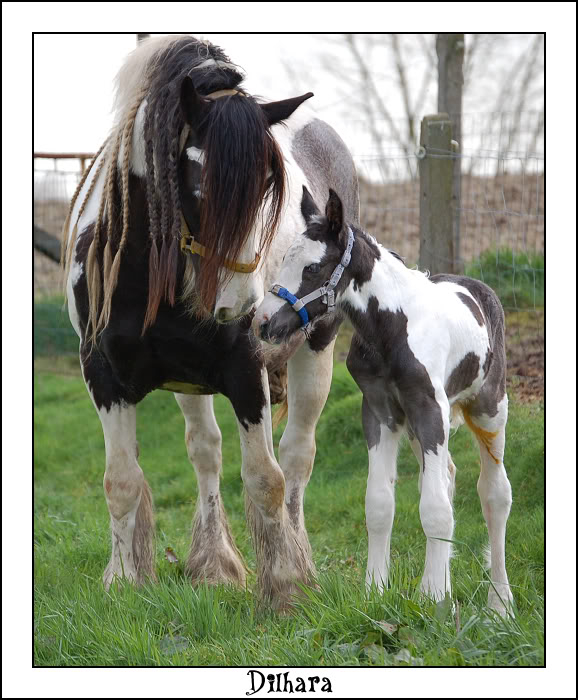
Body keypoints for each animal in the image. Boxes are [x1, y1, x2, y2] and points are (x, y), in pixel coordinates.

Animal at [62, 35, 356, 608]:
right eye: (196, 180)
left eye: (269, 184)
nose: (243, 306)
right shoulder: (103, 376)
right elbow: (121, 481)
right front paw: (124, 581)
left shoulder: (246, 372)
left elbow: (267, 479)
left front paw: (286, 590)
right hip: (188, 383)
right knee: (206, 452)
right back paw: (212, 565)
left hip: (317, 351)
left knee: (297, 457)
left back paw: (302, 563)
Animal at [256, 189, 512, 616]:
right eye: (283, 261)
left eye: (313, 268)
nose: (262, 322)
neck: (392, 328)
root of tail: (479, 288)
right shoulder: (380, 411)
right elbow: (379, 504)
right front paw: (377, 590)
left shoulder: (430, 409)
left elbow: (435, 509)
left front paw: (434, 599)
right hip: (416, 426)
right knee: (448, 476)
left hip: (489, 408)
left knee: (495, 493)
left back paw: (500, 604)